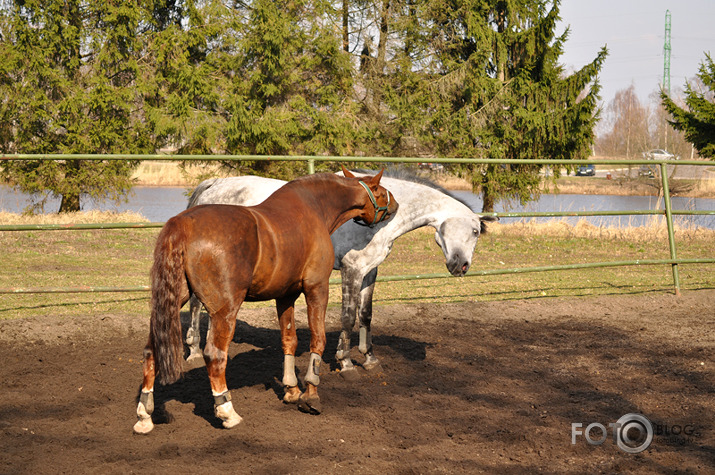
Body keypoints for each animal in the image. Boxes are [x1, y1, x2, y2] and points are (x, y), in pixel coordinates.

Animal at [134, 169, 398, 434]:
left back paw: (145, 413)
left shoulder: (285, 295)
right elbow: (318, 339)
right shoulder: (317, 288)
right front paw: (311, 394)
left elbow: (289, 340)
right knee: (215, 355)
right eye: (381, 190)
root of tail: (182, 225)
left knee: (151, 350)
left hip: (170, 304)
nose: (395, 204)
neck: (314, 207)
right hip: (225, 310)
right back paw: (227, 411)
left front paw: (292, 389)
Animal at [187, 171, 496, 380]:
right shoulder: (352, 269)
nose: (461, 266)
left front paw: (369, 358)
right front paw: (345, 362)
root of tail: (215, 184)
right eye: (474, 231)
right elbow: (347, 316)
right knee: (196, 304)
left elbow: (366, 314)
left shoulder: (370, 271)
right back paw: (193, 351)